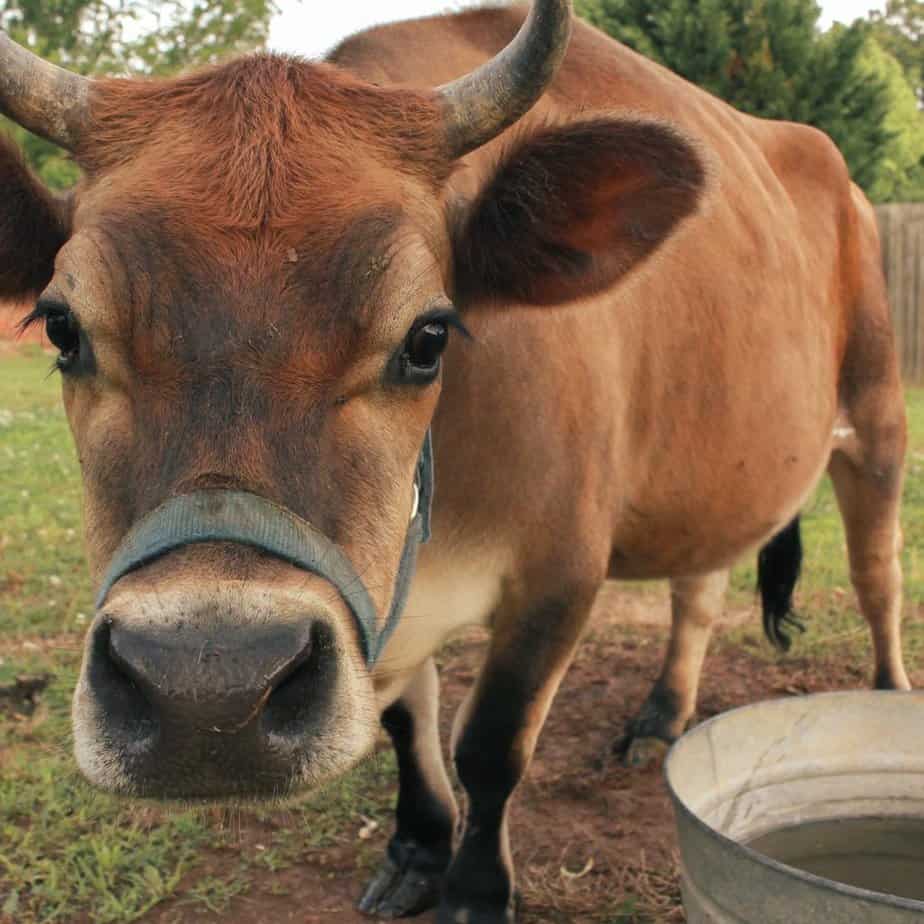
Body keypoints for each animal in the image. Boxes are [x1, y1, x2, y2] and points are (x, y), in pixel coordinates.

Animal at [0, 1, 911, 921]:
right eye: (63, 328)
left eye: (428, 336)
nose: (207, 690)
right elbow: (408, 721)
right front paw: (417, 847)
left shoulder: (560, 576)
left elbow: (490, 744)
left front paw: (475, 888)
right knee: (699, 587)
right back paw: (661, 716)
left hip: (877, 419)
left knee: (877, 577)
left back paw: (886, 698)